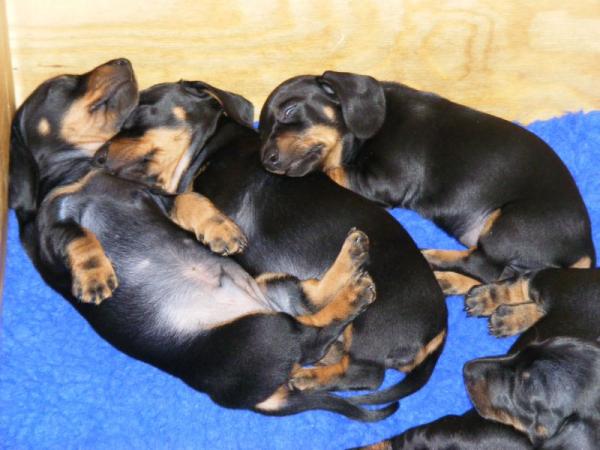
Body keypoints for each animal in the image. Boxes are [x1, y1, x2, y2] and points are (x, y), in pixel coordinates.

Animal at [8, 60, 397, 421]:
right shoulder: (49, 229)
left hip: (267, 308)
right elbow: (77, 234)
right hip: (263, 322)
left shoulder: (159, 198)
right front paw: (93, 277)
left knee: (312, 324)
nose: (102, 156)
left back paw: (354, 267)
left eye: (137, 114)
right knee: (312, 326)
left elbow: (188, 199)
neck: (81, 169)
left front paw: (219, 229)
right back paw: (354, 282)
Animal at [94, 80, 447, 406]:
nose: (96, 157)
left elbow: (185, 198)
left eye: (139, 112)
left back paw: (309, 376)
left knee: (364, 372)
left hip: (371, 322)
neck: (208, 149)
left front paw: (219, 230)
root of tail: (438, 335)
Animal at [257, 71, 595, 295]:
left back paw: (433, 257)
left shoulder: (385, 180)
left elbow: (331, 170)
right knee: (496, 274)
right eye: (262, 130)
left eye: (290, 110)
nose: (266, 160)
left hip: (509, 225)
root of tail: (585, 251)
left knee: (482, 265)